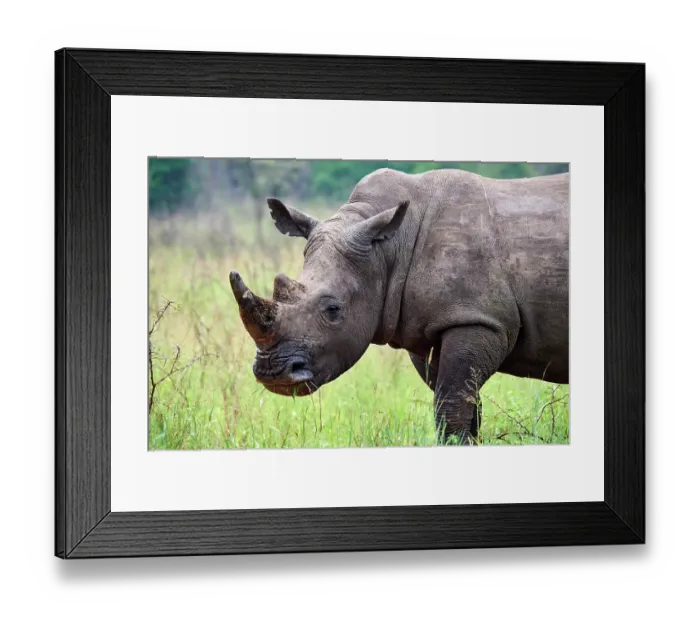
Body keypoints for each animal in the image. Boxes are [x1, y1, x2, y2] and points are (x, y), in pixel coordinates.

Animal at [229, 168, 569, 444]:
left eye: (333, 310)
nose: (274, 373)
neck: (387, 249)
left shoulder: (478, 319)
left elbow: (451, 405)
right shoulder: (430, 328)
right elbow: (462, 404)